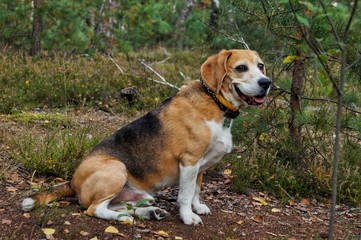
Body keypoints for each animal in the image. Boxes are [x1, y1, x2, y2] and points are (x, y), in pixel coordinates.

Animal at [21, 48, 270, 225]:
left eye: (261, 66)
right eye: (241, 68)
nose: (267, 83)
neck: (216, 103)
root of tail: (72, 181)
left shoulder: (200, 166)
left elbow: (196, 190)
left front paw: (197, 207)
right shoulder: (189, 161)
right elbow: (185, 194)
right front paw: (188, 217)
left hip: (140, 193)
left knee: (120, 206)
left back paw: (150, 212)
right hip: (116, 169)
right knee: (96, 209)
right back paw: (123, 219)